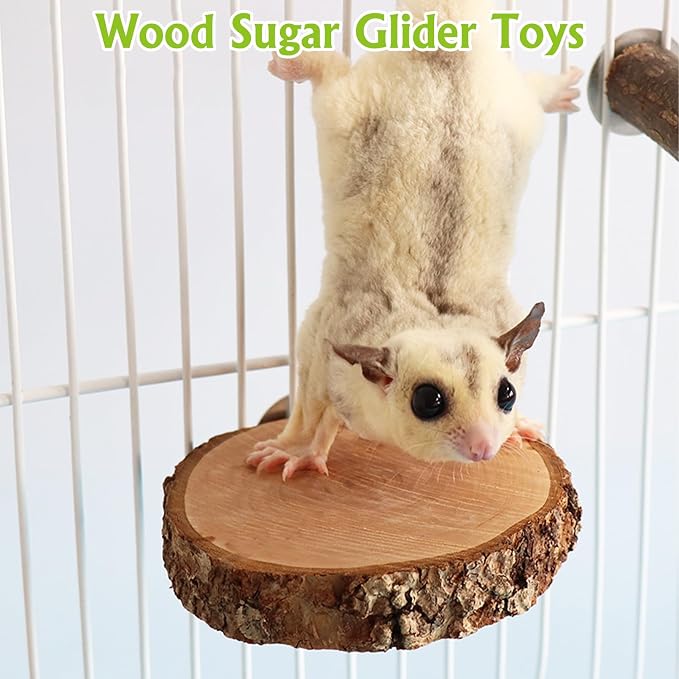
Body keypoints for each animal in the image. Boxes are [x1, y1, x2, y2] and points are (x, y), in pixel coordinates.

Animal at [246, 0, 582, 480]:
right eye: (428, 400)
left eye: (507, 395)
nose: (485, 447)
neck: (435, 314)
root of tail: (447, 26)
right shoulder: (323, 343)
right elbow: (312, 410)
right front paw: (294, 450)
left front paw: (520, 427)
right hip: (352, 104)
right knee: (331, 76)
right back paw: (294, 62)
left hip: (514, 108)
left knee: (533, 91)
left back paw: (560, 89)